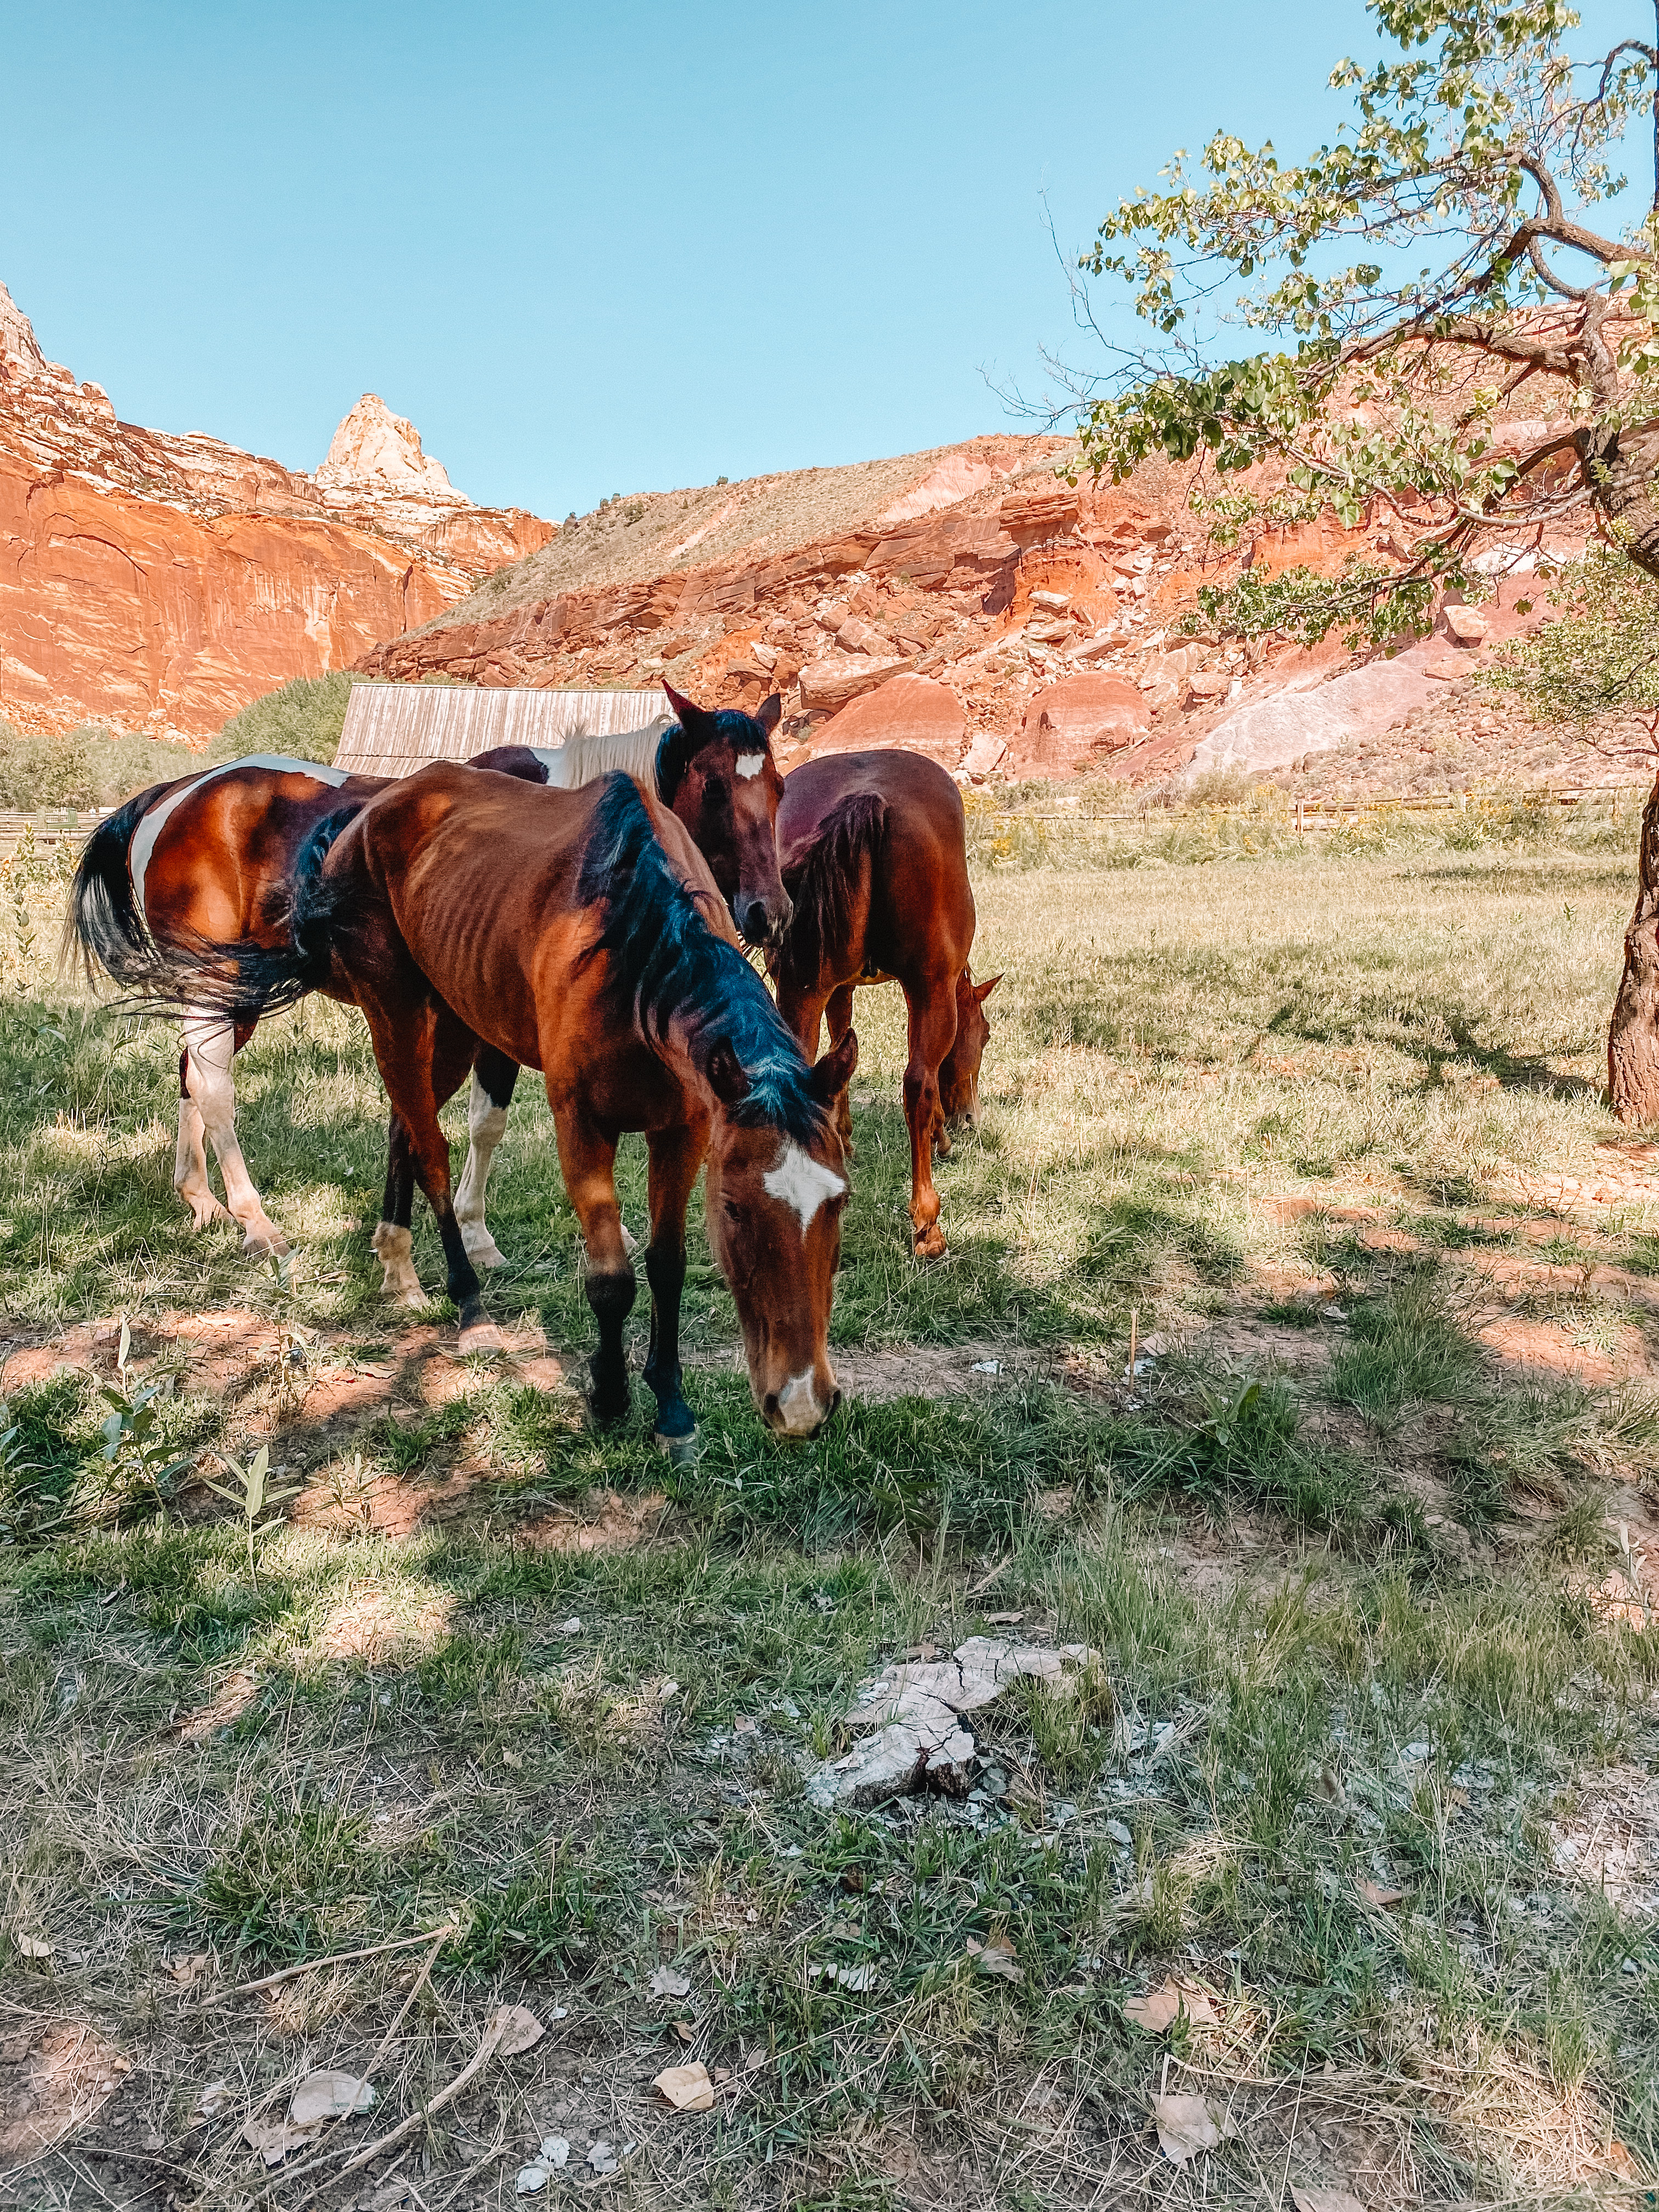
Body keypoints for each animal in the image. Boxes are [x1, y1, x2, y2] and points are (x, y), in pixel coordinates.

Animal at [66, 685, 792, 1283]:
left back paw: (202, 1202)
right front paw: (474, 1235)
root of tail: (176, 794)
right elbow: (486, 1121)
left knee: (191, 1073)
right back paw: (257, 1224)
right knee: (215, 1088)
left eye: (780, 789)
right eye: (714, 787)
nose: (770, 912)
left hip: (228, 994)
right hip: (214, 984)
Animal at [159, 765, 858, 1451]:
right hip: (398, 1013)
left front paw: (672, 1407)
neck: (633, 953)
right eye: (736, 1208)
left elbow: (667, 1265)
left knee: (403, 1129)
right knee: (430, 1152)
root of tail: (367, 812)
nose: (801, 1404)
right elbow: (612, 1278)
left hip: (455, 1023)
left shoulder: (683, 1130)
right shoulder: (581, 1127)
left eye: (840, 1201)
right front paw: (609, 1398)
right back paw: (469, 1308)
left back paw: (399, 1267)